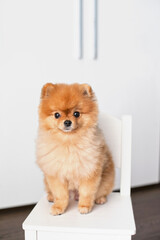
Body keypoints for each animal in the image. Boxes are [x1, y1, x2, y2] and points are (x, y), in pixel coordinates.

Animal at [36, 83, 114, 216]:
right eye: (57, 115)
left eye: (76, 113)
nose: (67, 122)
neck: (69, 142)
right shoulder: (56, 174)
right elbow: (60, 195)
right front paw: (59, 207)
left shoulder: (89, 171)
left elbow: (87, 192)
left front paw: (85, 206)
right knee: (51, 191)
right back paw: (51, 197)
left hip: (106, 179)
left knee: (102, 191)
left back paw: (100, 199)